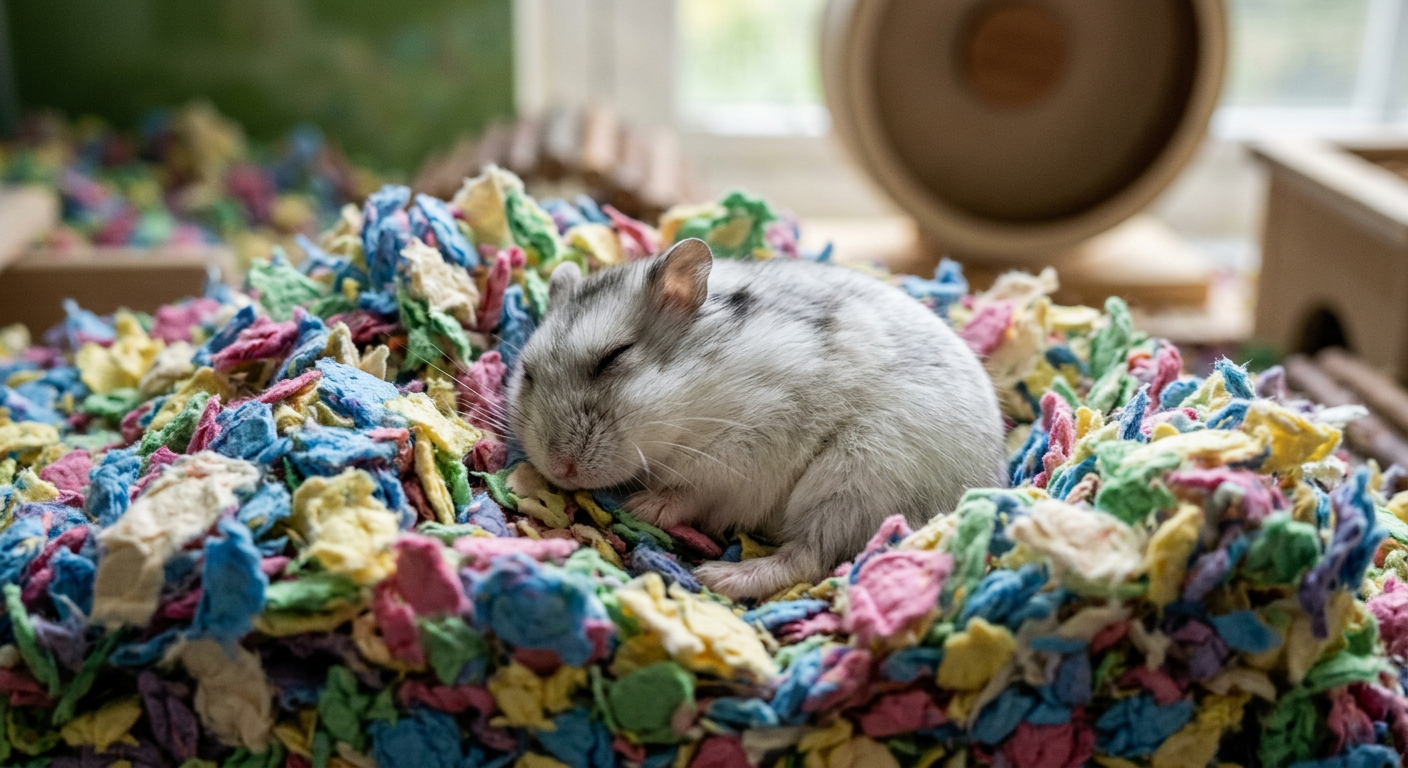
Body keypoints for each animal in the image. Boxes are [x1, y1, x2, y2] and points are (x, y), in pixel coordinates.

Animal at [506, 238, 1006, 599]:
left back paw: (719, 576)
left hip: (857, 477)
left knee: (811, 558)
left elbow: (695, 490)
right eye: (527, 374)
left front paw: (642, 507)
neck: (695, 405)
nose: (561, 470)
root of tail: (982, 490)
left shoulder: (748, 449)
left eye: (613, 358)